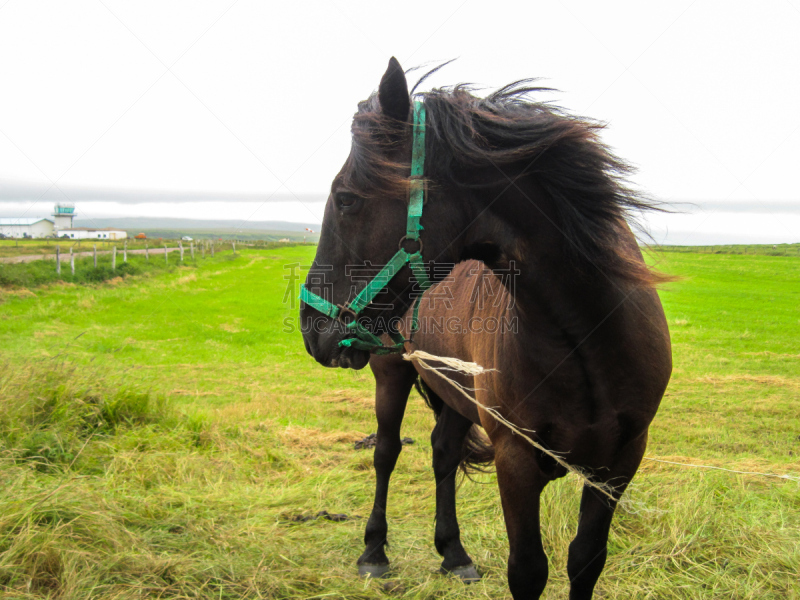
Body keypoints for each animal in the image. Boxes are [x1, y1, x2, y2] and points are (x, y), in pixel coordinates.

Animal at [300, 57, 668, 600]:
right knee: (386, 453)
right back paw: (374, 552)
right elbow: (528, 570)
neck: (588, 342)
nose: (312, 326)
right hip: (392, 375)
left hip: (454, 393)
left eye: (346, 199)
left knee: (443, 453)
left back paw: (454, 554)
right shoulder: (514, 460)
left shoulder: (619, 464)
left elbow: (585, 560)